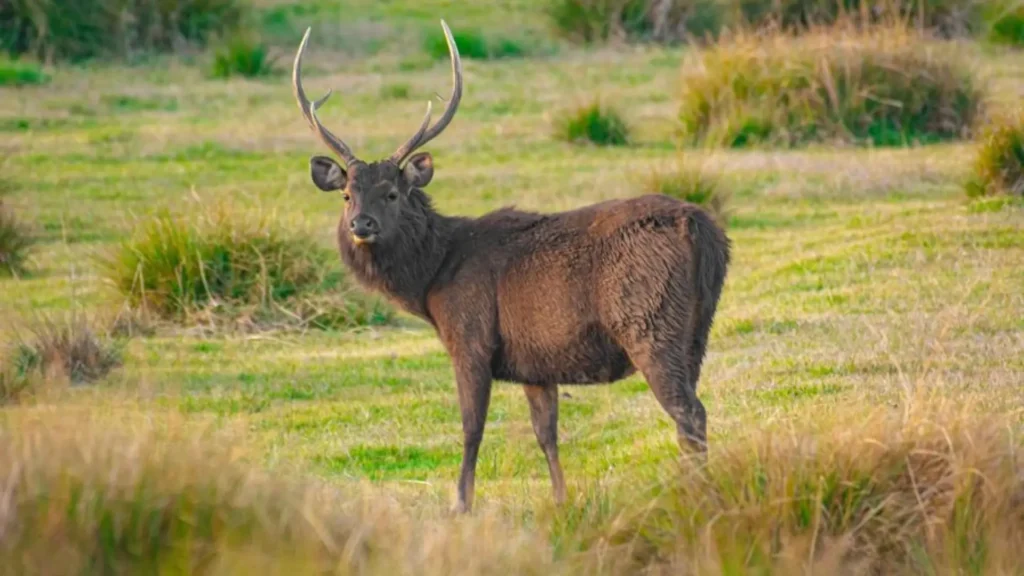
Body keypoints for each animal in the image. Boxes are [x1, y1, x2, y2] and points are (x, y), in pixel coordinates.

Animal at [291, 20, 731, 514]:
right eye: (347, 194)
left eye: (392, 193)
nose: (361, 225)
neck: (433, 279)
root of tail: (702, 230)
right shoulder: (535, 363)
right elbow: (546, 435)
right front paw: (561, 500)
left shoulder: (471, 339)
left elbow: (471, 429)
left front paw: (461, 503)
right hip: (698, 330)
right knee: (690, 410)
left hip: (650, 323)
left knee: (689, 412)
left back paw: (697, 494)